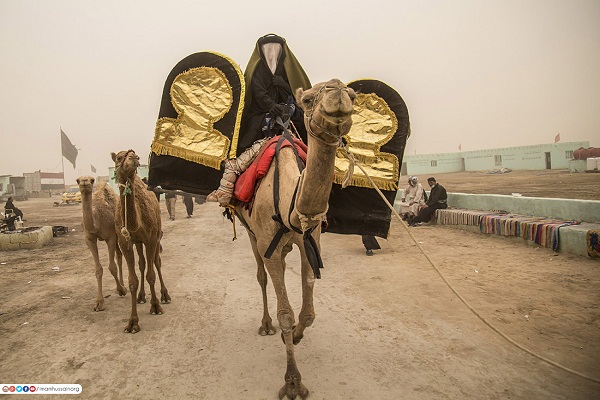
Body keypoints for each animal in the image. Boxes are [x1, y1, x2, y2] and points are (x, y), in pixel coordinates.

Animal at [77, 176, 127, 312]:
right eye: (77, 180)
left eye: (92, 180)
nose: (84, 181)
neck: (96, 221)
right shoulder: (89, 240)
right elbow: (98, 270)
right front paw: (99, 303)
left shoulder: (110, 237)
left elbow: (112, 267)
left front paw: (121, 290)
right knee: (119, 255)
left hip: (119, 234)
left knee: (120, 257)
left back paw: (123, 286)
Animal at [112, 149, 171, 332]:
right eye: (119, 157)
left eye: (135, 155)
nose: (134, 158)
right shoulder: (125, 242)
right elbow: (132, 281)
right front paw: (132, 322)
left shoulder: (151, 238)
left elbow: (151, 275)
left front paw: (156, 306)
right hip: (138, 243)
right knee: (142, 263)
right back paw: (141, 296)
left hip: (157, 235)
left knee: (156, 262)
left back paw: (165, 295)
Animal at [234, 77, 356, 396]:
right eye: (309, 99)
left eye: (353, 95)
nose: (337, 90)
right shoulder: (268, 243)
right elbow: (286, 314)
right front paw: (292, 382)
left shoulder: (309, 241)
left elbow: (309, 311)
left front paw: (298, 336)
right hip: (252, 235)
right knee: (261, 275)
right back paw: (265, 324)